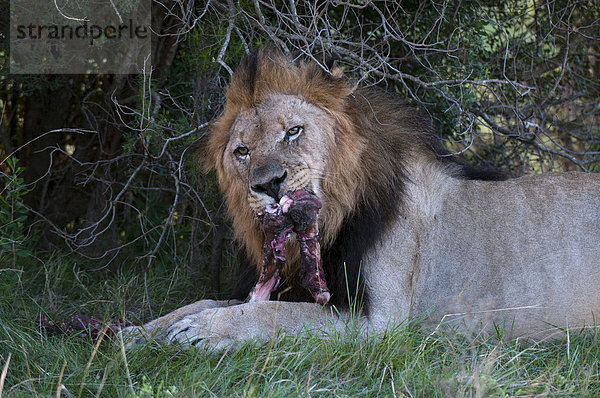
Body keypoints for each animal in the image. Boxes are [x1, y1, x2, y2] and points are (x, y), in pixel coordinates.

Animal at [131, 49, 600, 348]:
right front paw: (139, 333)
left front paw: (205, 330)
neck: (330, 224)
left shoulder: (378, 323)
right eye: (242, 151)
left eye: (293, 131)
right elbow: (207, 301)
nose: (269, 184)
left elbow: (275, 315)